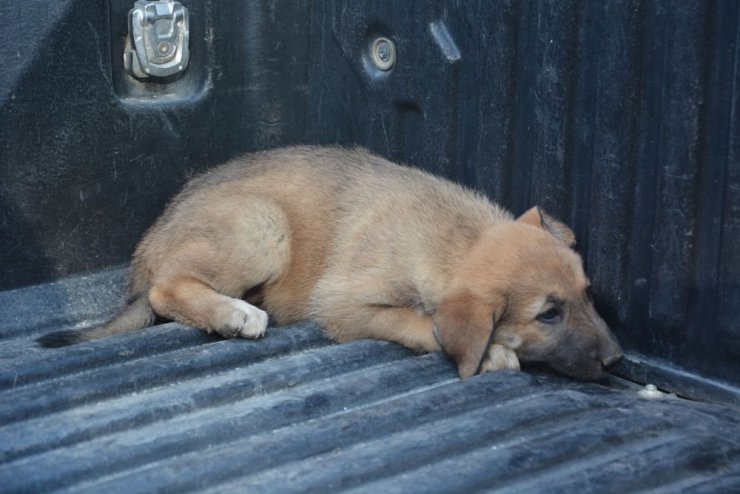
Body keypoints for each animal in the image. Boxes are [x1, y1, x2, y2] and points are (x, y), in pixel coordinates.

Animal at [37, 145, 620, 380]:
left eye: (588, 294)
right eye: (548, 315)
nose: (617, 361)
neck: (453, 237)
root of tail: (148, 246)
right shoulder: (345, 304)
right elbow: (423, 323)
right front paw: (493, 353)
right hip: (261, 224)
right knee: (167, 289)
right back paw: (235, 314)